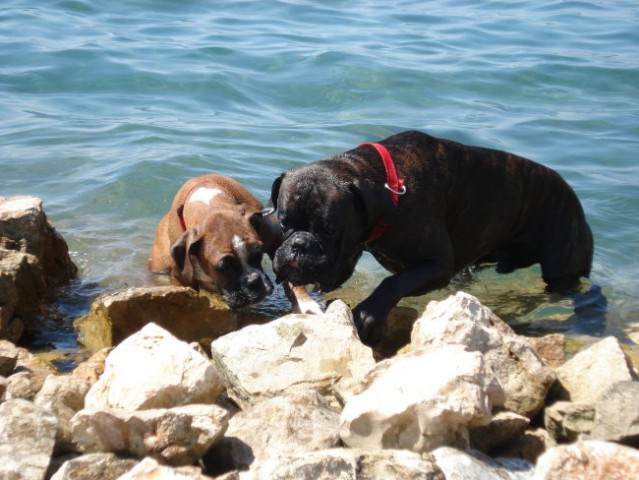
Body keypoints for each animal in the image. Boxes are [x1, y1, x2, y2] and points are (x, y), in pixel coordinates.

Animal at [149, 172, 320, 312]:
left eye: (258, 254)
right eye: (224, 266)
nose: (254, 281)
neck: (210, 205)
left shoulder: (278, 242)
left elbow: (290, 276)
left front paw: (305, 304)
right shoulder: (181, 279)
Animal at [270, 129, 596, 344]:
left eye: (329, 229)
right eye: (284, 223)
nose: (298, 244)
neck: (389, 187)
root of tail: (571, 194)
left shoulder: (437, 266)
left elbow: (394, 282)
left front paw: (367, 313)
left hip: (563, 265)